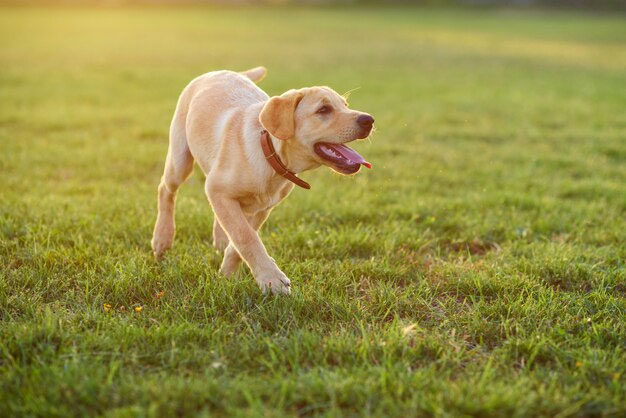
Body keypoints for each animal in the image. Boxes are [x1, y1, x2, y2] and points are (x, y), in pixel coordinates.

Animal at [150, 67, 376, 294]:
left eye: (345, 105)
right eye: (323, 110)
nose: (369, 120)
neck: (269, 153)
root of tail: (221, 71)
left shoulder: (263, 207)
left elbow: (242, 240)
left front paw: (228, 274)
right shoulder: (217, 189)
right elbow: (246, 237)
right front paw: (272, 278)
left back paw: (219, 241)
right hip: (180, 160)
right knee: (165, 189)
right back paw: (162, 238)